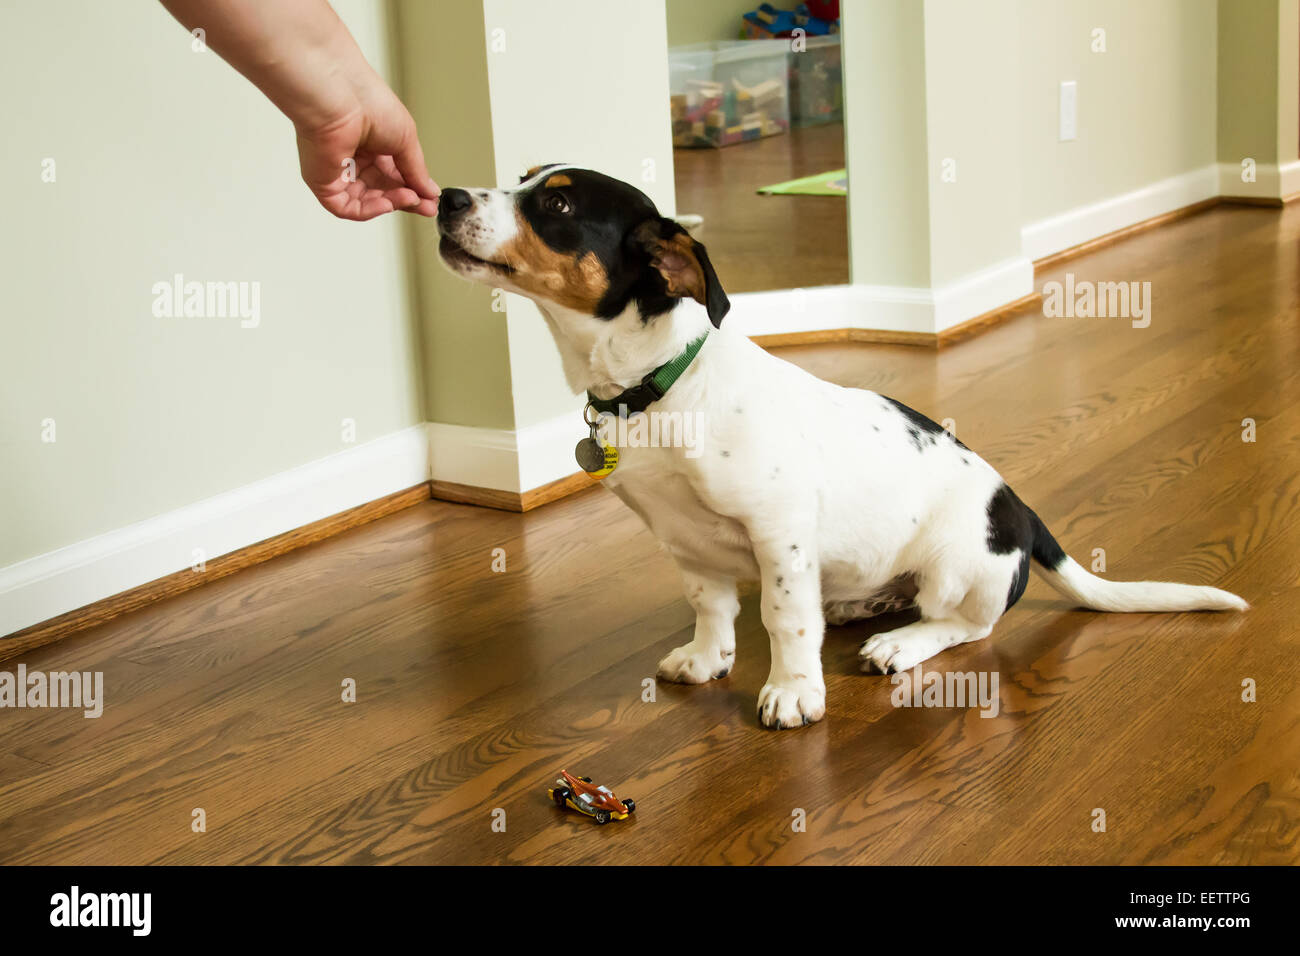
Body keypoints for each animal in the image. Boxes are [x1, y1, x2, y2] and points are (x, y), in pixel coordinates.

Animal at [439, 166, 1248, 733]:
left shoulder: (779, 533)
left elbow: (785, 619)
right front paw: (707, 658)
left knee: (968, 625)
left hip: (956, 565)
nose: (444, 196)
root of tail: (1022, 514)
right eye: (521, 178)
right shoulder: (684, 540)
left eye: (558, 207)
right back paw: (865, 605)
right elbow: (711, 607)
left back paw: (900, 643)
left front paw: (792, 692)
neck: (661, 386)